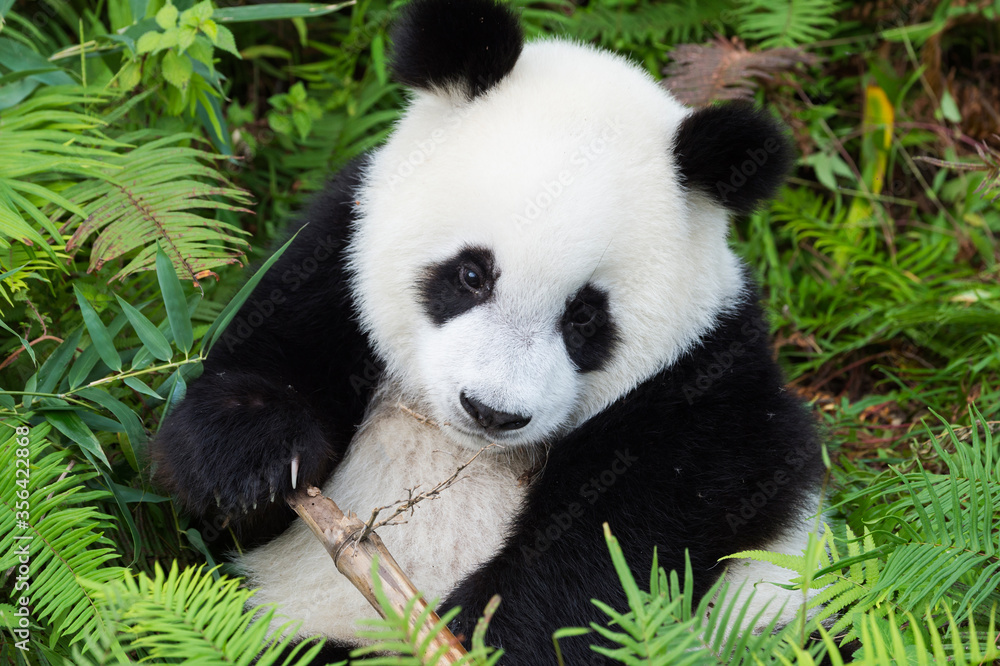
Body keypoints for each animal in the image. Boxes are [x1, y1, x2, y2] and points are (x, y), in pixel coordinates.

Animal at [151, 0, 825, 663]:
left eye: (584, 316)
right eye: (471, 274)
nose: (491, 411)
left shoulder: (705, 371)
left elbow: (637, 528)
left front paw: (483, 633)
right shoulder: (338, 248)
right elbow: (270, 358)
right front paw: (255, 461)